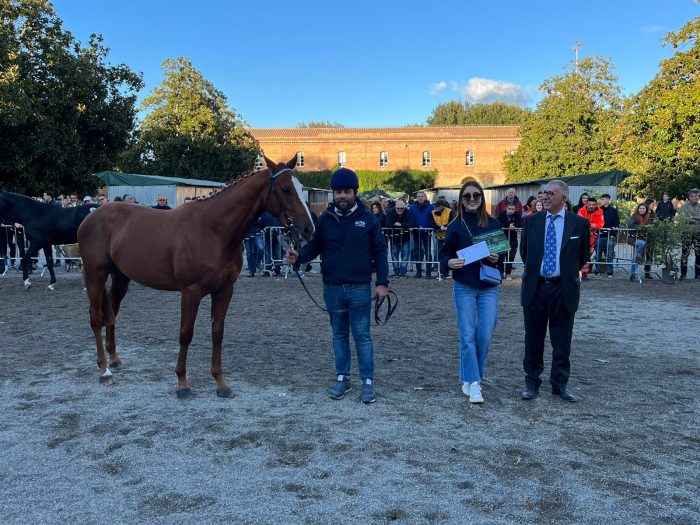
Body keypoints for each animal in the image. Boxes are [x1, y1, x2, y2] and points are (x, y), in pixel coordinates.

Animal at [77, 156, 314, 398]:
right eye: (286, 189)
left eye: (301, 187)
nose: (308, 229)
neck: (213, 230)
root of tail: (92, 214)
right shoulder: (191, 291)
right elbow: (186, 333)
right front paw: (182, 384)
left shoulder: (224, 290)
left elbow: (217, 333)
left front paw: (221, 383)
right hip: (96, 276)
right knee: (96, 318)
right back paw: (104, 371)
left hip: (121, 278)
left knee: (112, 314)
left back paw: (114, 360)